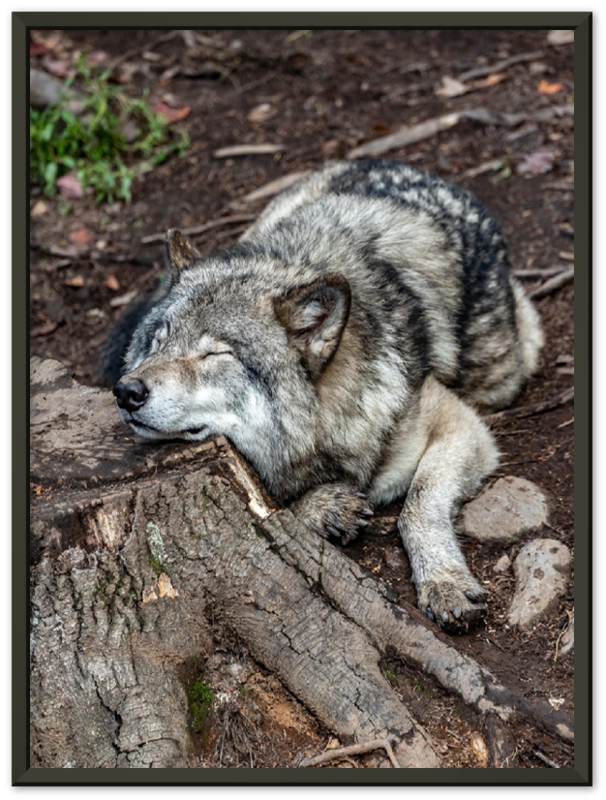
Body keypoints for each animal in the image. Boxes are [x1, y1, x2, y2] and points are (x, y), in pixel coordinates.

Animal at [104, 159, 543, 630]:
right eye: (157, 342)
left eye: (215, 354)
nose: (126, 391)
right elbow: (271, 506)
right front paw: (322, 506)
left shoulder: (461, 425)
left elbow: (418, 505)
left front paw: (444, 582)